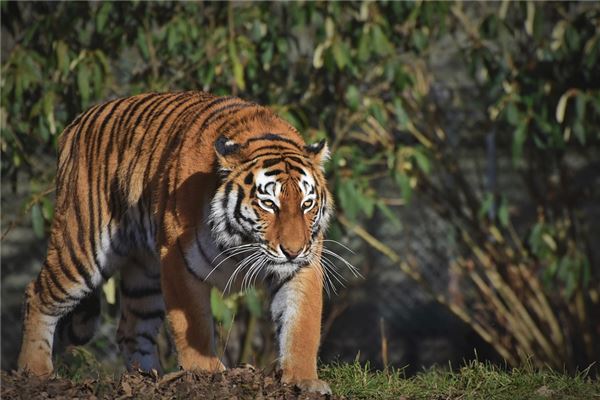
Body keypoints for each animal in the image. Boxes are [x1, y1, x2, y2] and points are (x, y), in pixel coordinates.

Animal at [16, 91, 332, 394]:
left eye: (306, 204)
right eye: (269, 204)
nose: (292, 251)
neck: (243, 242)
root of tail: (77, 122)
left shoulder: (302, 268)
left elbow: (301, 325)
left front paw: (304, 380)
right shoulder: (179, 260)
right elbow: (195, 326)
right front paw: (207, 373)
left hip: (145, 274)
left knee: (132, 329)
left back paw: (149, 379)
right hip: (82, 247)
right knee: (38, 294)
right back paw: (35, 370)